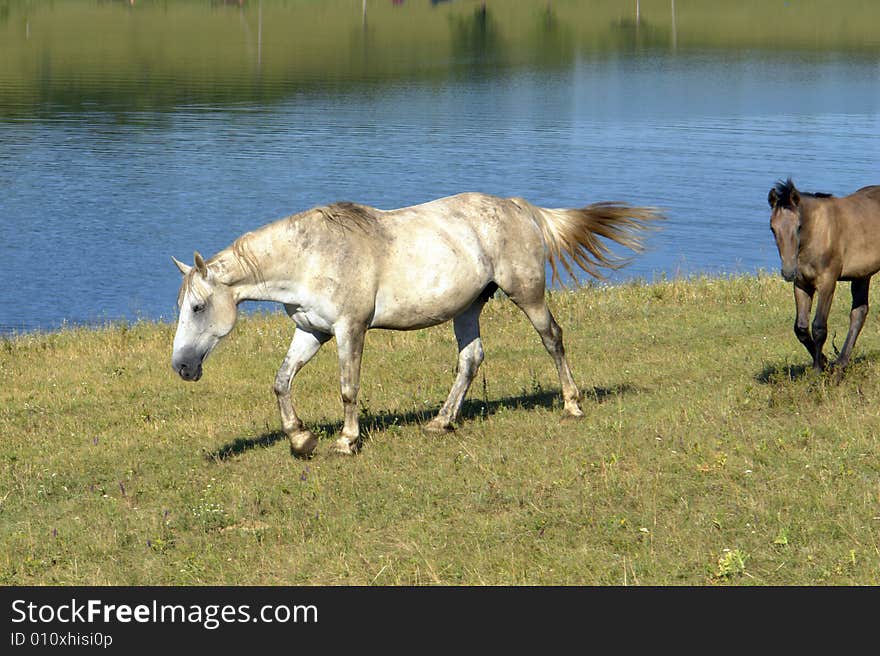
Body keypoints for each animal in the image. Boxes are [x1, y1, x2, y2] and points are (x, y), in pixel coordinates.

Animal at [170, 190, 660, 456]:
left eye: (197, 308)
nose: (182, 367)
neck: (312, 257)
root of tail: (519, 207)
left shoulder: (350, 329)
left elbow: (348, 388)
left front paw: (346, 441)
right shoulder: (312, 331)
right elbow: (281, 381)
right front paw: (300, 439)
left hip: (527, 294)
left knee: (553, 340)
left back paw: (572, 405)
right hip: (468, 308)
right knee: (471, 359)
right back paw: (441, 422)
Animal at [768, 179, 880, 372]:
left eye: (798, 227)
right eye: (773, 228)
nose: (788, 272)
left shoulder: (827, 282)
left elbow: (819, 327)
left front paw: (817, 370)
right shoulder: (802, 284)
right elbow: (801, 328)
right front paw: (825, 362)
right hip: (862, 274)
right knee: (859, 312)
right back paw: (841, 364)